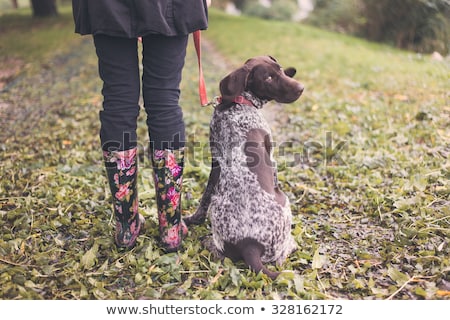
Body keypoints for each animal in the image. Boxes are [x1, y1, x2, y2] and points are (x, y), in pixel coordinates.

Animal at [185, 56, 304, 278]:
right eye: (268, 78)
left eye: (280, 70)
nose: (301, 88)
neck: (241, 103)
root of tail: (251, 246)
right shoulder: (272, 158)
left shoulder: (216, 163)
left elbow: (204, 198)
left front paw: (193, 219)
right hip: (285, 203)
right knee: (280, 257)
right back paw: (292, 244)